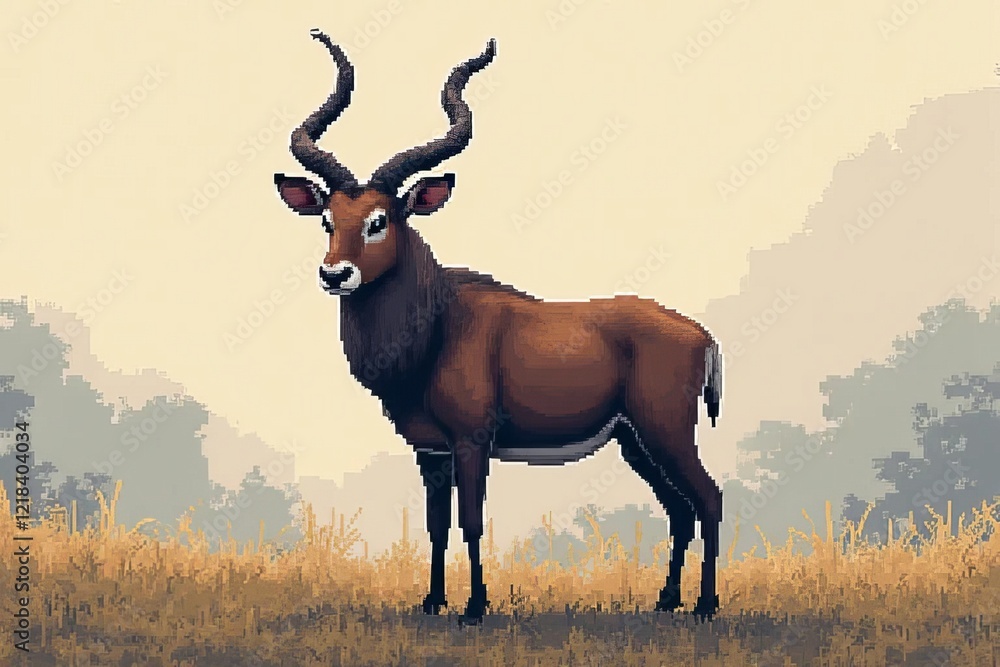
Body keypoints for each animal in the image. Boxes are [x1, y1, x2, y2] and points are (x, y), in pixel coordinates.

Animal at [275, 29, 724, 621]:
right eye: (328, 219)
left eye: (379, 220)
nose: (334, 274)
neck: (438, 326)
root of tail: (702, 335)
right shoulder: (431, 452)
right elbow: (436, 526)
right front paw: (431, 602)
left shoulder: (472, 442)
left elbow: (470, 521)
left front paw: (474, 607)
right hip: (635, 441)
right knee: (679, 508)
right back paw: (666, 602)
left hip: (667, 431)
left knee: (709, 498)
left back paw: (705, 606)